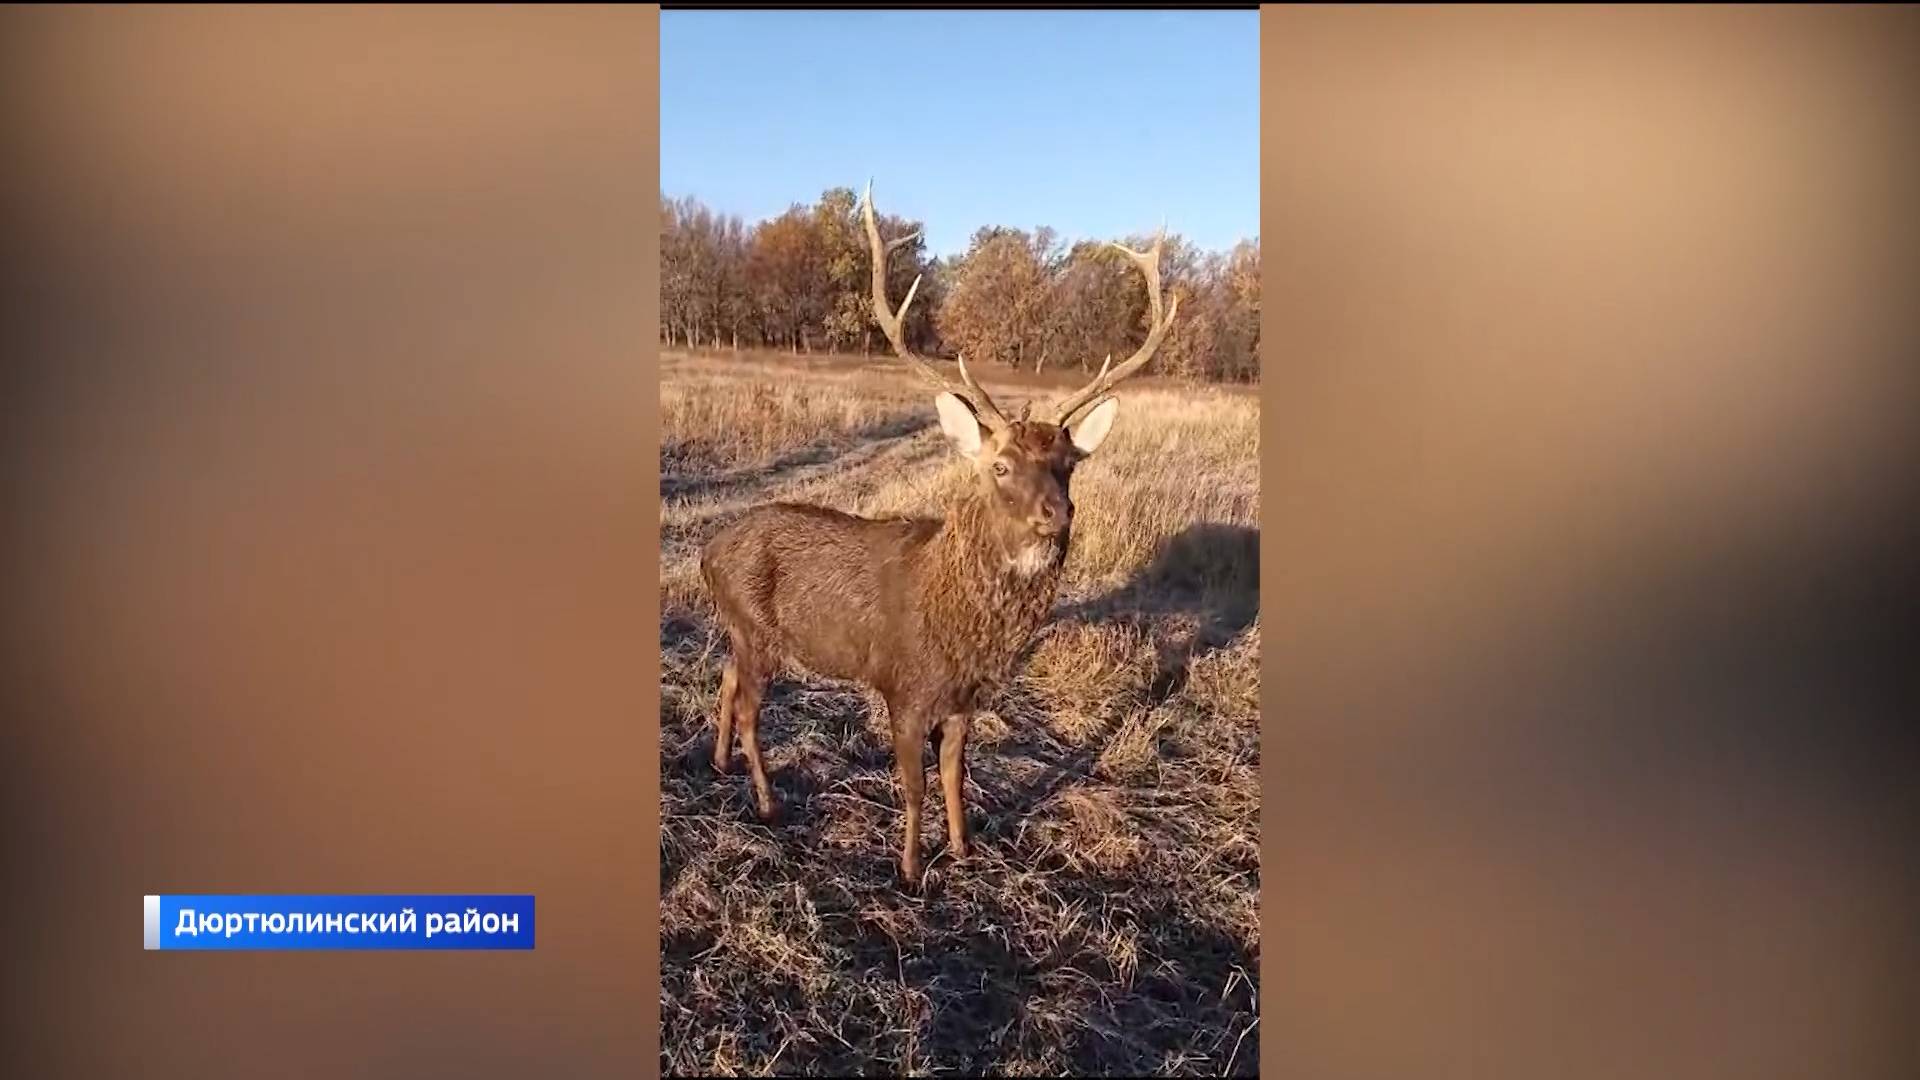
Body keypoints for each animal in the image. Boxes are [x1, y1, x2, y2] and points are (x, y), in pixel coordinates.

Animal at [702, 178, 1175, 883]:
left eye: (1068, 465)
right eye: (1000, 465)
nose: (1056, 514)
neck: (960, 630)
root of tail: (706, 551)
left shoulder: (964, 700)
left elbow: (955, 774)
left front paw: (962, 849)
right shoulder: (903, 686)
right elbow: (915, 785)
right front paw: (908, 867)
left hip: (744, 633)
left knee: (729, 682)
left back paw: (719, 762)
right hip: (755, 629)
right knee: (753, 709)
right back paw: (765, 800)